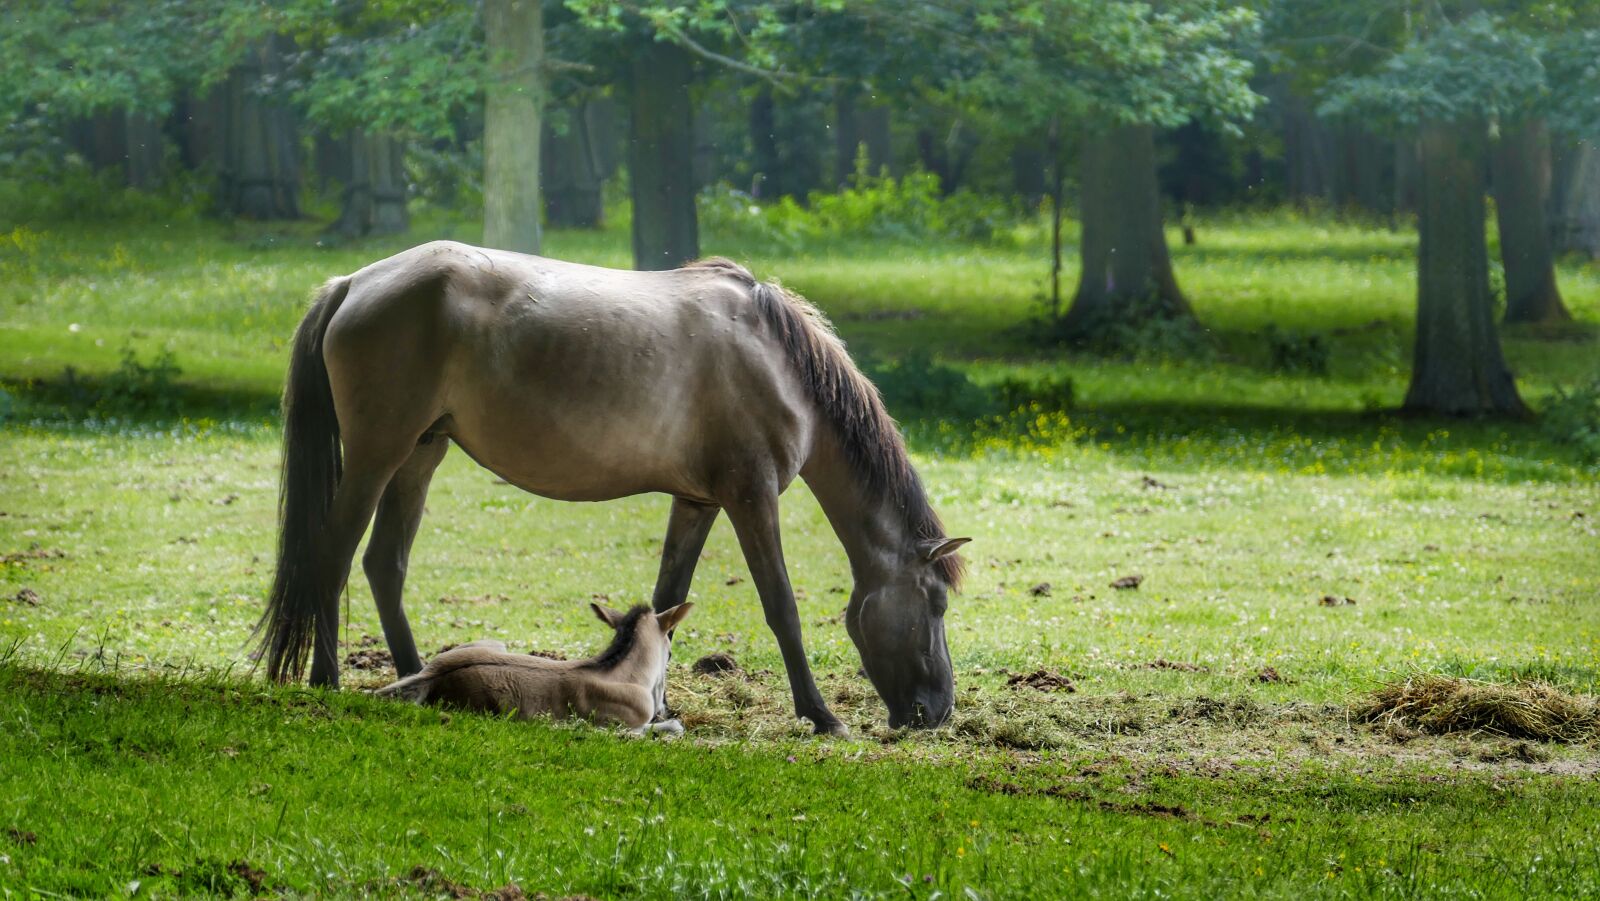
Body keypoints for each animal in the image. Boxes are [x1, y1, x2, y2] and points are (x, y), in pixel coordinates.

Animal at [375, 602, 692, 736]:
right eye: (670, 653)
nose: (664, 706)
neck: (622, 673)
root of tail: (431, 676)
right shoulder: (623, 723)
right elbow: (667, 728)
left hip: (495, 644)